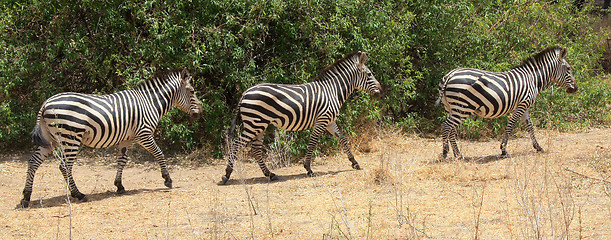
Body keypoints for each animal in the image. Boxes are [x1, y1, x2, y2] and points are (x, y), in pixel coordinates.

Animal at [20, 68, 202, 207]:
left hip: (50, 139)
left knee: (33, 162)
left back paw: (26, 197)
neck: (150, 103)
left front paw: (119, 185)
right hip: (70, 138)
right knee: (64, 166)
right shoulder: (143, 133)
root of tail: (45, 103)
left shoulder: (126, 138)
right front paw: (167, 179)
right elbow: (159, 153)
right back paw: (78, 194)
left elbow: (122, 160)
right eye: (192, 92)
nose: (200, 113)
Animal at [220, 52, 382, 184]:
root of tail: (245, 91)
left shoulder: (330, 121)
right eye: (369, 74)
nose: (380, 91)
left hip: (260, 124)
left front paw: (354, 162)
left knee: (255, 148)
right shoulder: (322, 120)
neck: (332, 91)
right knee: (237, 144)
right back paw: (227, 175)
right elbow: (312, 143)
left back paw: (270, 174)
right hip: (254, 123)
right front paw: (308, 169)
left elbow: (342, 139)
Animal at [438, 47, 576, 159]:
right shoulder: (522, 105)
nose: (575, 89)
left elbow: (530, 127)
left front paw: (538, 147)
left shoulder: (525, 107)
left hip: (452, 107)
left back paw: (457, 154)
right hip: (463, 107)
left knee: (451, 129)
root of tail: (450, 75)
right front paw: (503, 150)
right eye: (568, 69)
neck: (533, 79)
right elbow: (511, 125)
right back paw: (445, 153)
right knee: (446, 126)